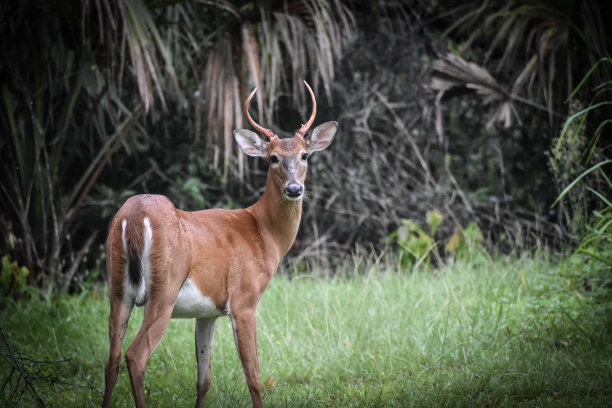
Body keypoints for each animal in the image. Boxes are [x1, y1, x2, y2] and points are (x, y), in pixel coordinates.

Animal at [102, 80, 338, 408]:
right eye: (273, 157)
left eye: (305, 155)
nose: (294, 189)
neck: (263, 231)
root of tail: (135, 216)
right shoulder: (244, 299)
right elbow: (254, 375)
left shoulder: (207, 312)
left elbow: (204, 379)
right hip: (164, 289)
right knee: (135, 356)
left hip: (117, 289)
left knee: (110, 359)